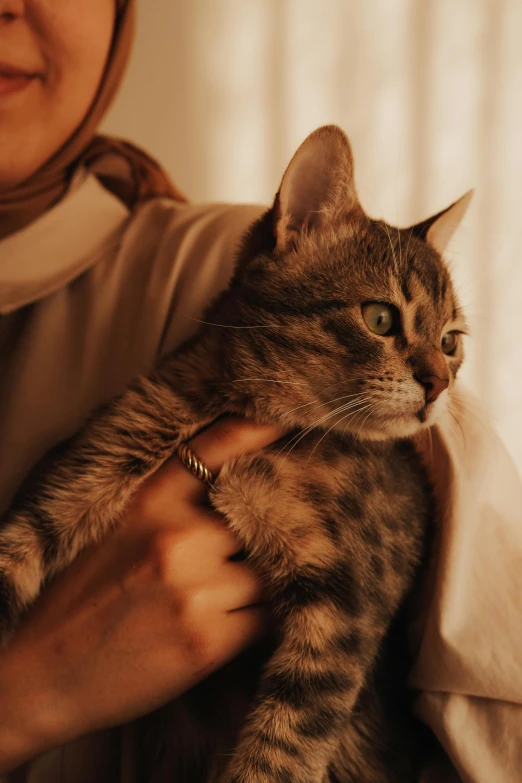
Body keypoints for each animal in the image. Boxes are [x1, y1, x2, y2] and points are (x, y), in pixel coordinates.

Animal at [0, 125, 468, 780]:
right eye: (380, 318)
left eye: (450, 342)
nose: (439, 384)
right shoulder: (91, 460)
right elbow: (15, 550)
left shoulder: (346, 614)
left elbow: (278, 754)